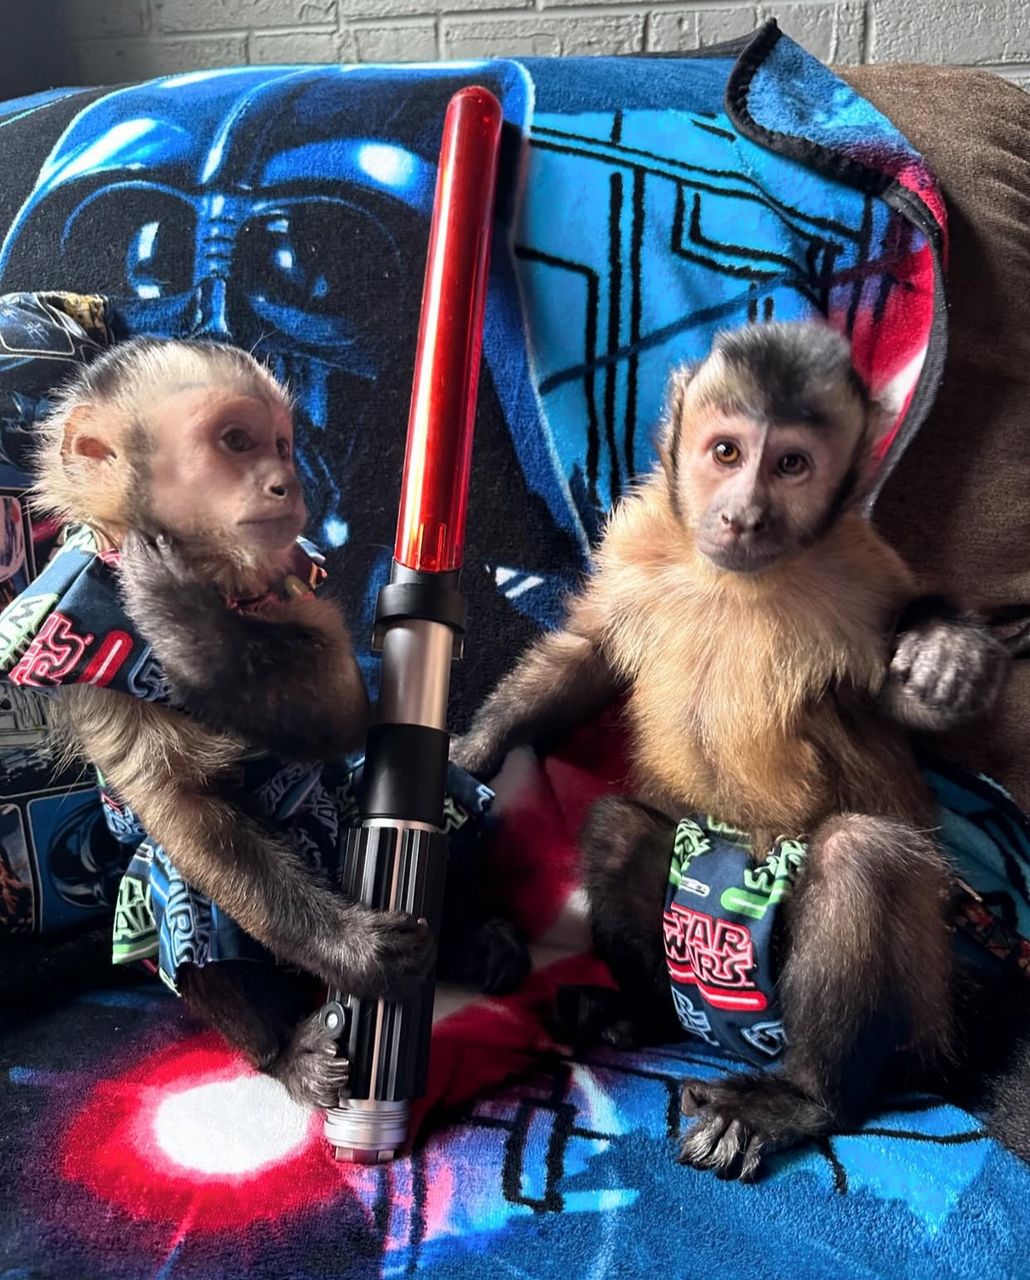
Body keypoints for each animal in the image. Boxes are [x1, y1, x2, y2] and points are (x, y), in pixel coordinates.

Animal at [8, 335, 526, 1108]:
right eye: (235, 441)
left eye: (282, 443)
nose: (290, 483)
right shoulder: (79, 645)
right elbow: (181, 816)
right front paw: (353, 953)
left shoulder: (289, 572)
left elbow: (344, 712)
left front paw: (182, 617)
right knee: (183, 897)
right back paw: (286, 1052)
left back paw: (473, 937)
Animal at [454, 320, 1029, 1179]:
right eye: (726, 453)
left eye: (791, 465)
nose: (745, 515)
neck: (732, 577)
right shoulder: (638, 538)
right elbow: (590, 656)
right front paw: (475, 751)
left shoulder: (865, 573)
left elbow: (904, 704)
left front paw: (945, 649)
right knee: (619, 832)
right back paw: (643, 1016)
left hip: (919, 1012)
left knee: (859, 860)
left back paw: (803, 1097)